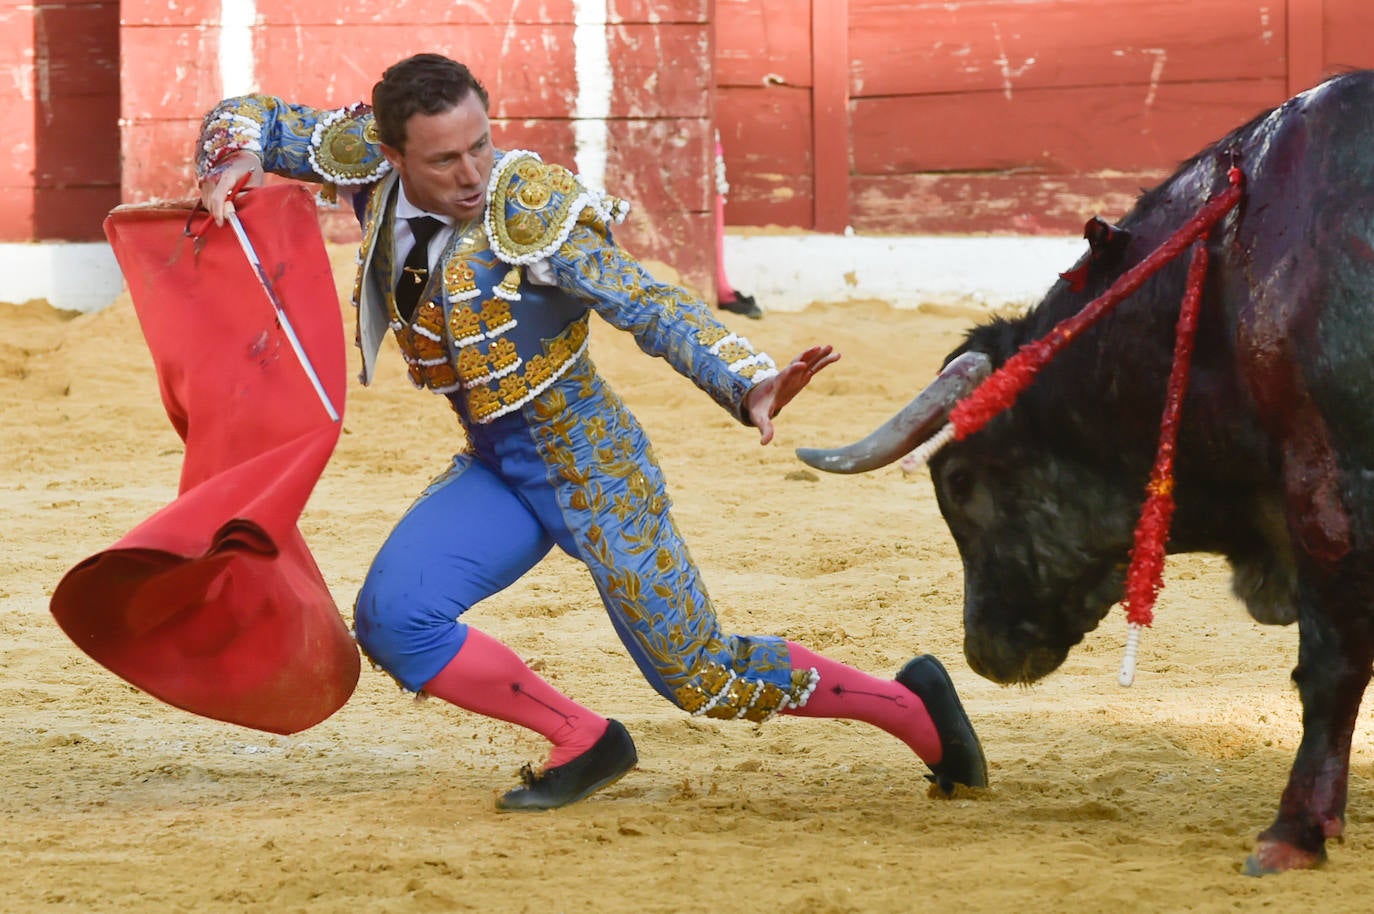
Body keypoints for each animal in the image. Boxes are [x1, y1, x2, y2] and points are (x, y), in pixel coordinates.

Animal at [802, 69, 1374, 868]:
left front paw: (1294, 834)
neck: (1232, 266)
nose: (981, 650)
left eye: (958, 481)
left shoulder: (1331, 482)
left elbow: (1331, 660)